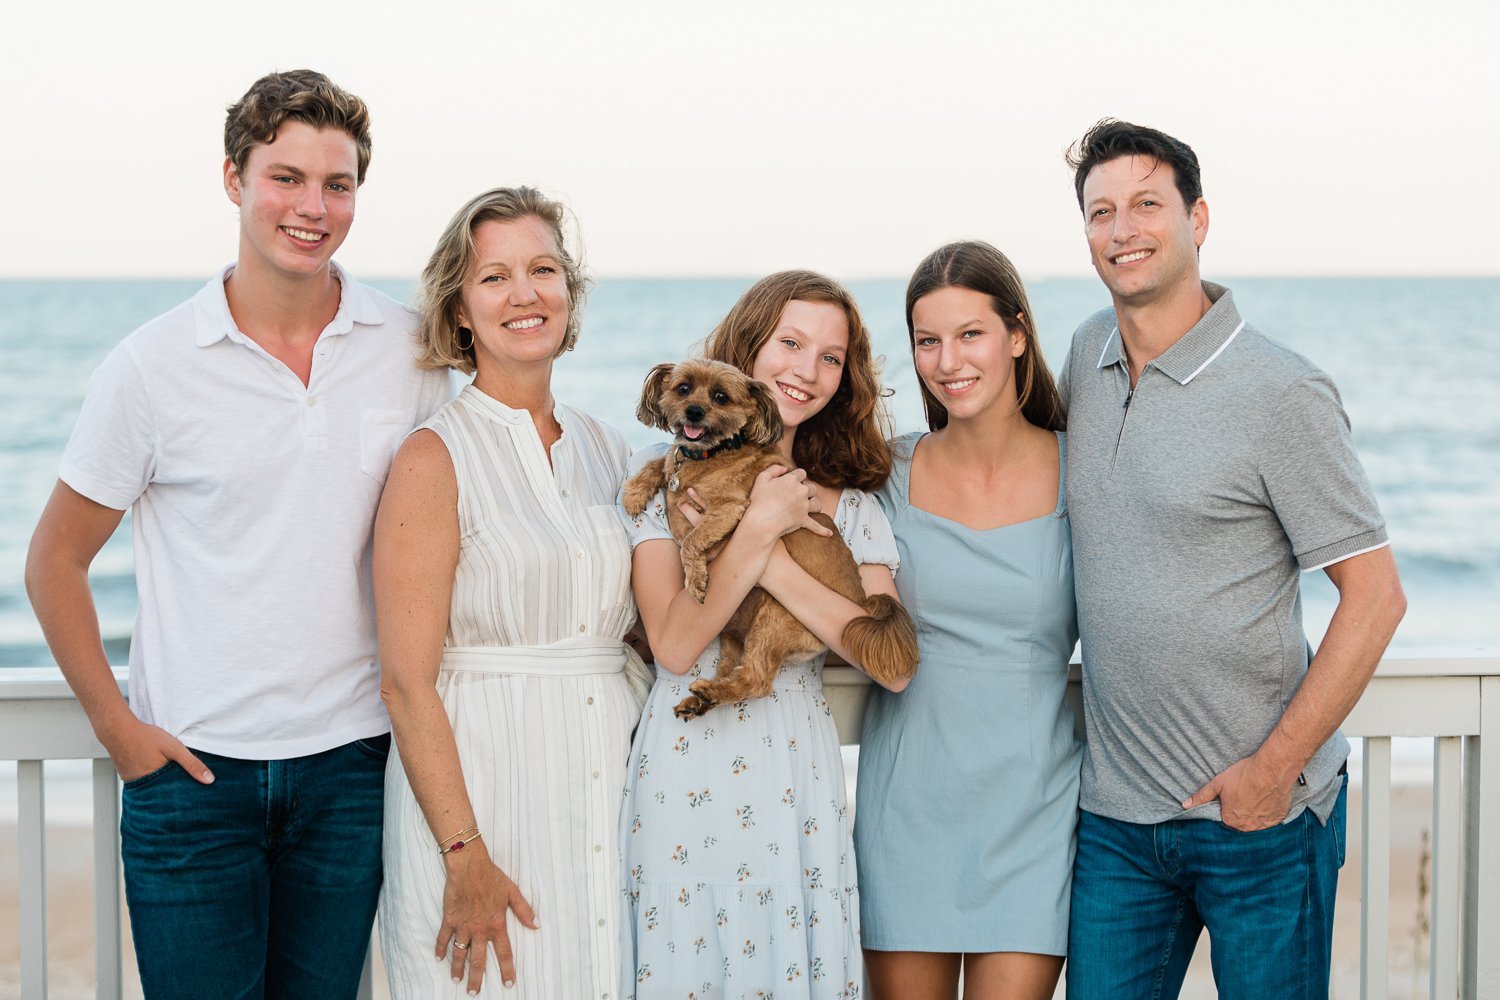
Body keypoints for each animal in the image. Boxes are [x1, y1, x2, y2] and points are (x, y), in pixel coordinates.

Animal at [618, 359, 918, 719]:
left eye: (720, 396)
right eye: (683, 388)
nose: (693, 411)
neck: (711, 454)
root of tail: (860, 606)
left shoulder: (731, 510)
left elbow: (691, 539)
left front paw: (696, 579)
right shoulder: (676, 466)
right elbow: (660, 462)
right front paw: (634, 492)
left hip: (773, 615)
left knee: (757, 680)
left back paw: (710, 691)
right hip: (734, 632)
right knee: (733, 668)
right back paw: (702, 700)